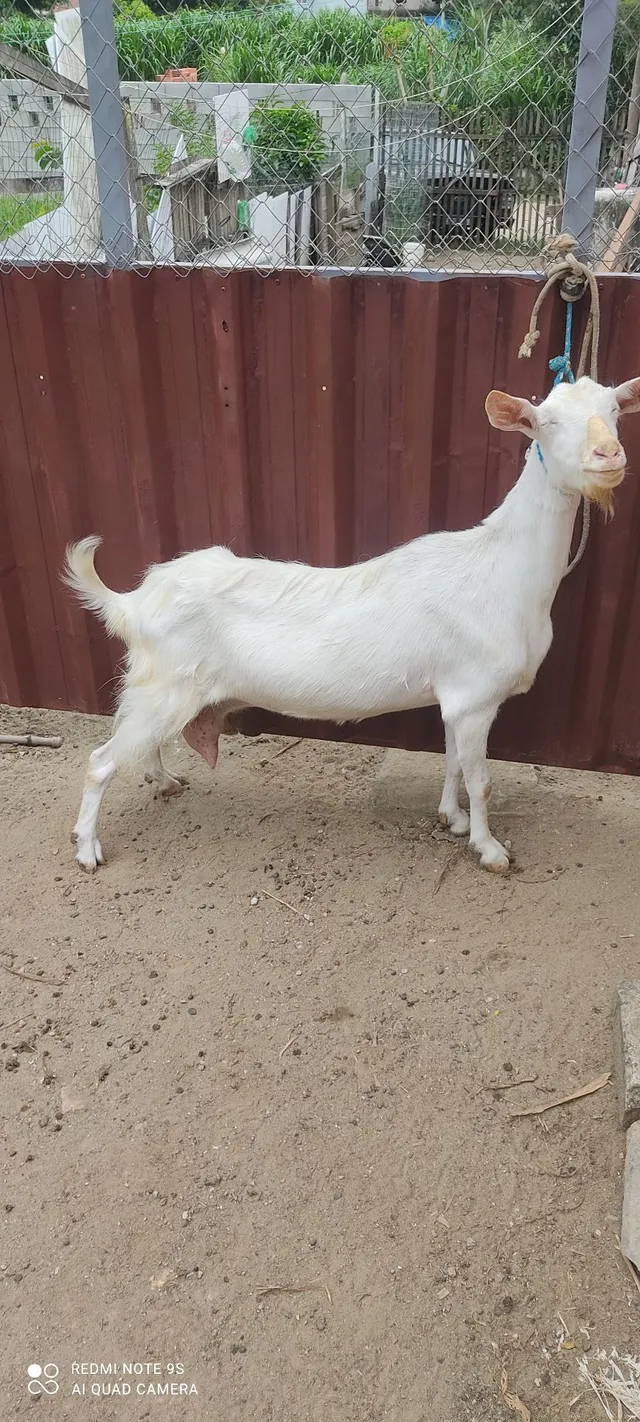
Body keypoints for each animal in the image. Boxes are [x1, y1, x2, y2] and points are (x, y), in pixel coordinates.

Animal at [66, 374, 640, 875]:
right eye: (546, 422)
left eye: (614, 411)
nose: (609, 456)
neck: (501, 569)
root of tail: (134, 601)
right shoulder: (477, 698)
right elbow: (481, 780)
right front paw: (489, 849)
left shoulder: (454, 697)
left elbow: (453, 762)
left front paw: (451, 819)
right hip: (167, 686)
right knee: (100, 760)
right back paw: (88, 849)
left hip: (163, 689)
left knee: (137, 742)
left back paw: (162, 781)